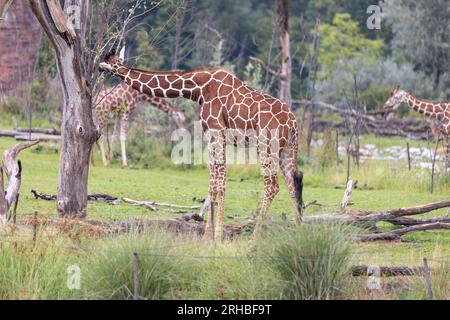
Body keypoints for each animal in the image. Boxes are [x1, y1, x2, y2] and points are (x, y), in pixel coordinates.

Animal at [98, 48, 302, 240]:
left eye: (107, 61)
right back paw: (298, 233)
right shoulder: (213, 136)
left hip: (266, 146)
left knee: (272, 186)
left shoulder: (216, 132)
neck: (198, 88)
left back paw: (255, 238)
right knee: (292, 185)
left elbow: (220, 183)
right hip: (287, 149)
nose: (99, 67)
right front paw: (207, 236)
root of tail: (293, 123)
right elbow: (212, 184)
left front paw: (218, 236)